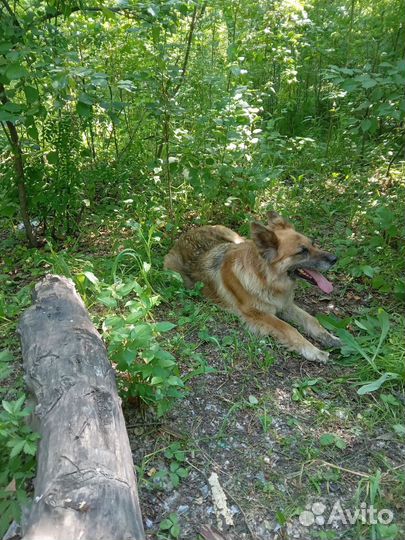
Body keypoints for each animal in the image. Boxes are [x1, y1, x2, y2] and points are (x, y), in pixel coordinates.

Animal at [164, 211, 340, 362]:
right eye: (302, 251)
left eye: (313, 244)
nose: (335, 259)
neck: (265, 278)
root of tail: (186, 233)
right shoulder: (258, 313)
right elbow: (289, 328)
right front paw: (313, 350)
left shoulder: (285, 305)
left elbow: (311, 320)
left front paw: (329, 338)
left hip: (235, 238)